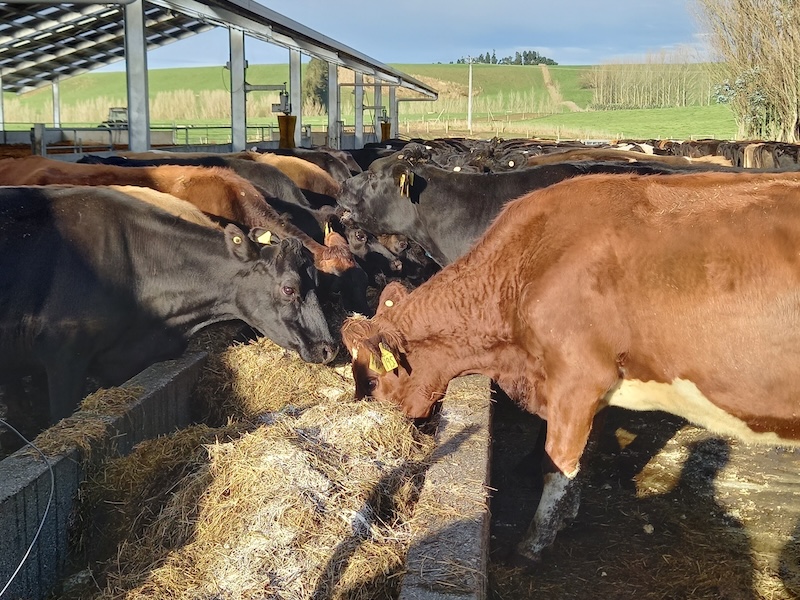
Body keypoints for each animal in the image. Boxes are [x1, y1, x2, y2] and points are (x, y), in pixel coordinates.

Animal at [340, 169, 800, 564]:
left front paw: (534, 543)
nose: (391, 423)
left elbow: (556, 463)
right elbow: (579, 459)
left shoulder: (577, 379)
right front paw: (567, 516)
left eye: (373, 377)